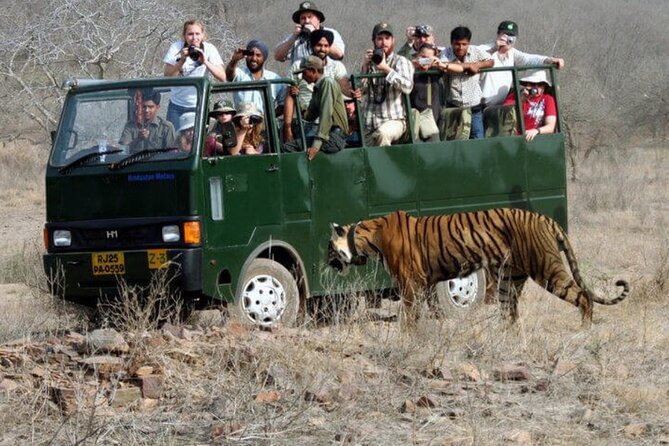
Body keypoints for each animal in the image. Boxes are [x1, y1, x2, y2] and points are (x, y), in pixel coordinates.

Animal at [328, 208, 629, 327]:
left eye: (328, 248)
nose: (326, 263)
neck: (366, 237)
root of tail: (546, 218)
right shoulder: (422, 283)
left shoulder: (409, 283)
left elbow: (410, 315)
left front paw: (408, 336)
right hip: (510, 279)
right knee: (510, 314)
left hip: (547, 269)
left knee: (583, 296)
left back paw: (584, 329)